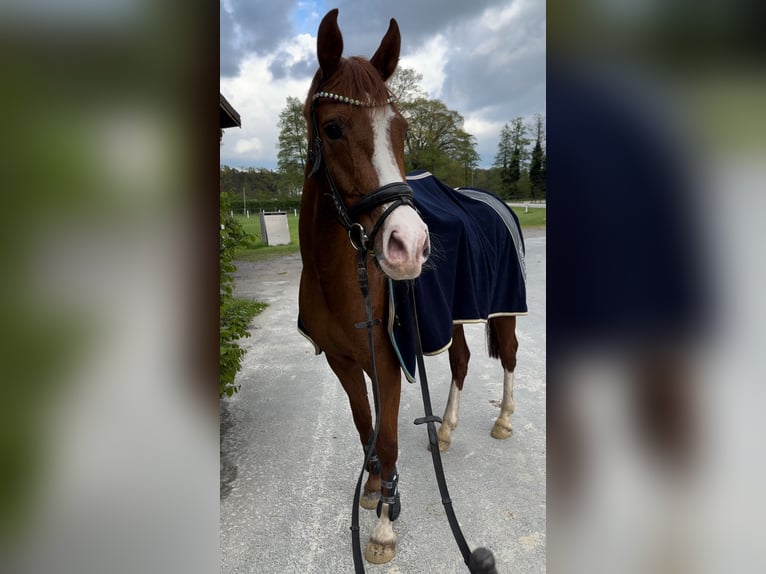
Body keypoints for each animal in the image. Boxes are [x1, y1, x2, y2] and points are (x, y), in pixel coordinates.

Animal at [296, 9, 524, 568]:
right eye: (333, 128)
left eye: (399, 128)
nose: (410, 244)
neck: (340, 278)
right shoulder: (344, 361)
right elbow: (366, 430)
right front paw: (374, 490)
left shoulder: (388, 359)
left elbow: (390, 438)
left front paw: (383, 527)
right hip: (456, 315)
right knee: (462, 359)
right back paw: (445, 429)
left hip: (504, 309)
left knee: (507, 356)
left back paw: (504, 421)